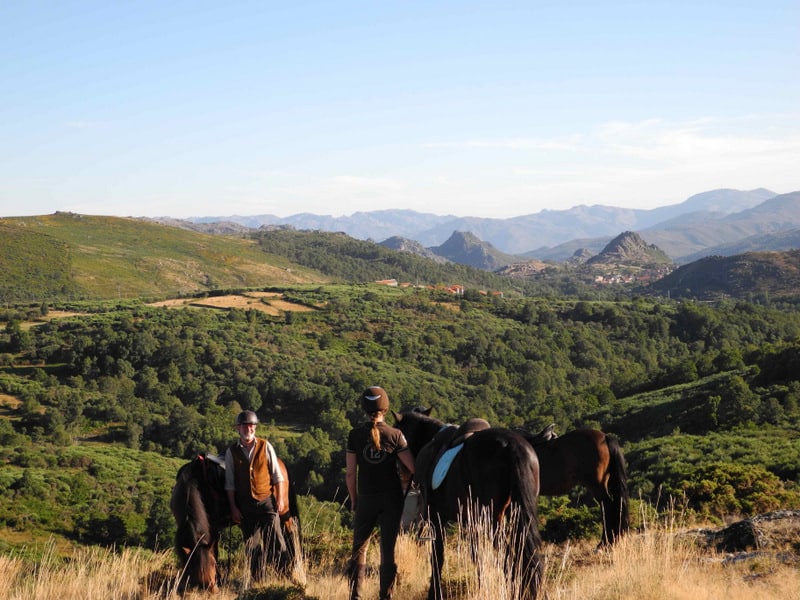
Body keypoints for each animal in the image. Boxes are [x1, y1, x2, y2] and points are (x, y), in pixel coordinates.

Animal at [170, 454, 304, 592]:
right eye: (194, 569)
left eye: (212, 563)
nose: (210, 588)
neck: (194, 482)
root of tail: (280, 462)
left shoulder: (213, 528)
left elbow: (215, 552)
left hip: (283, 511)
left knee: (290, 535)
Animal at [394, 410, 544, 600]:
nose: (400, 472)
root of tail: (512, 445)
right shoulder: (472, 523)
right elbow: (476, 556)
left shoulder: (436, 518)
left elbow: (438, 557)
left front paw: (434, 593)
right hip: (517, 516)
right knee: (527, 558)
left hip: (493, 520)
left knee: (509, 558)